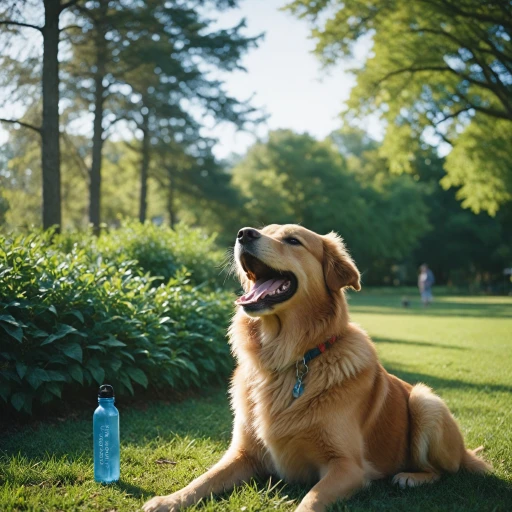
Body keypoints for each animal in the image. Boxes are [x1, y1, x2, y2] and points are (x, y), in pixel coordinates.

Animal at [142, 225, 490, 512]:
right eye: (263, 229)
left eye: (293, 240)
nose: (243, 234)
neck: (286, 361)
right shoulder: (243, 454)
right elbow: (204, 479)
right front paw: (168, 500)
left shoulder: (348, 466)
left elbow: (311, 500)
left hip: (424, 401)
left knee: (444, 470)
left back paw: (411, 476)